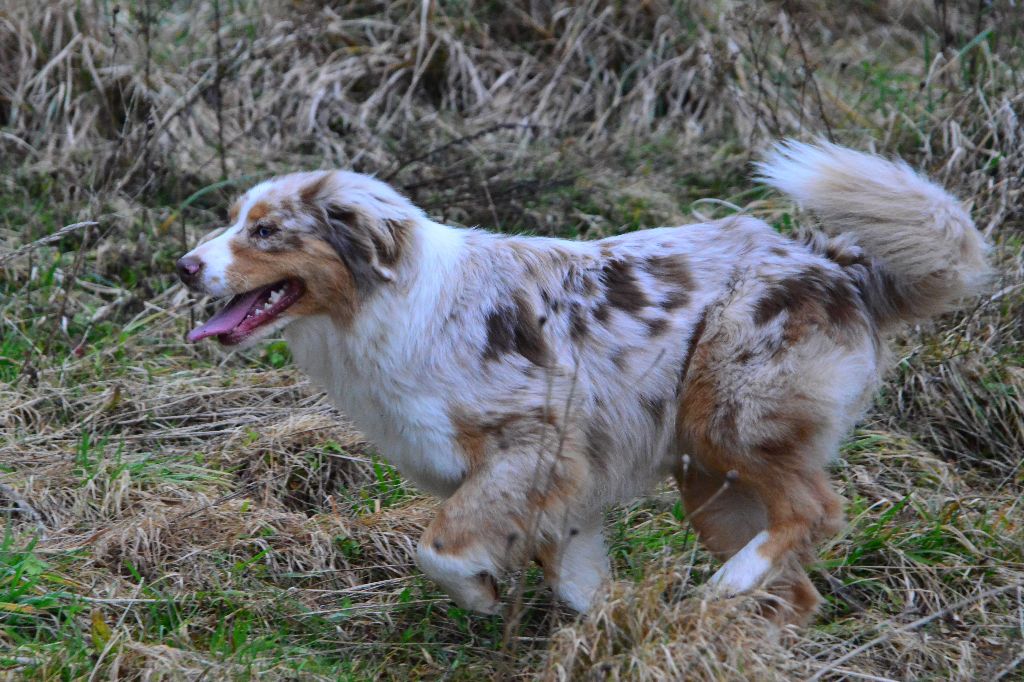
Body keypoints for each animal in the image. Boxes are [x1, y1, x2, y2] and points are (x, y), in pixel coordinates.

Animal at [180, 140, 987, 622]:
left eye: (265, 232)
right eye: (231, 221)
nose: (184, 266)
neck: (390, 301)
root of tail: (837, 265)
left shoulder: (538, 447)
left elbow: (436, 548)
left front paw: (480, 594)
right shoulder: (562, 489)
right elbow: (577, 582)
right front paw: (609, 628)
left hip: (724, 421)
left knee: (814, 509)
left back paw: (728, 585)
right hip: (709, 484)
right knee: (798, 588)